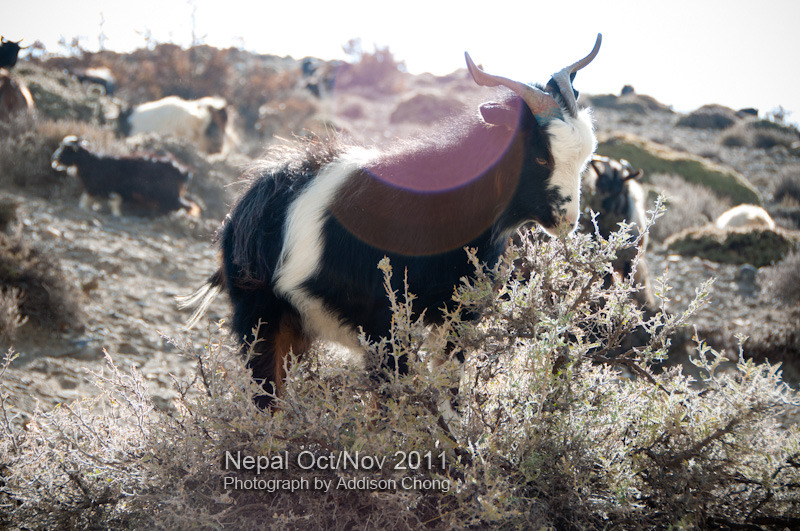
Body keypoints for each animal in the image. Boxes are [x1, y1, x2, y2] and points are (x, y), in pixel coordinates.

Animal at [50, 138, 200, 219]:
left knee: (188, 206)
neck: (93, 163)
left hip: (169, 195)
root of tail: (181, 171)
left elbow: (87, 201)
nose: (54, 158)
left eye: (67, 149)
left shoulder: (97, 188)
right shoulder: (104, 190)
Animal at [181, 35, 604, 410]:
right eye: (541, 157)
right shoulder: (384, 324)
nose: (568, 219)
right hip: (260, 315)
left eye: (585, 157)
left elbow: (449, 392)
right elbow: (391, 402)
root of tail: (244, 206)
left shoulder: (455, 320)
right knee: (266, 395)